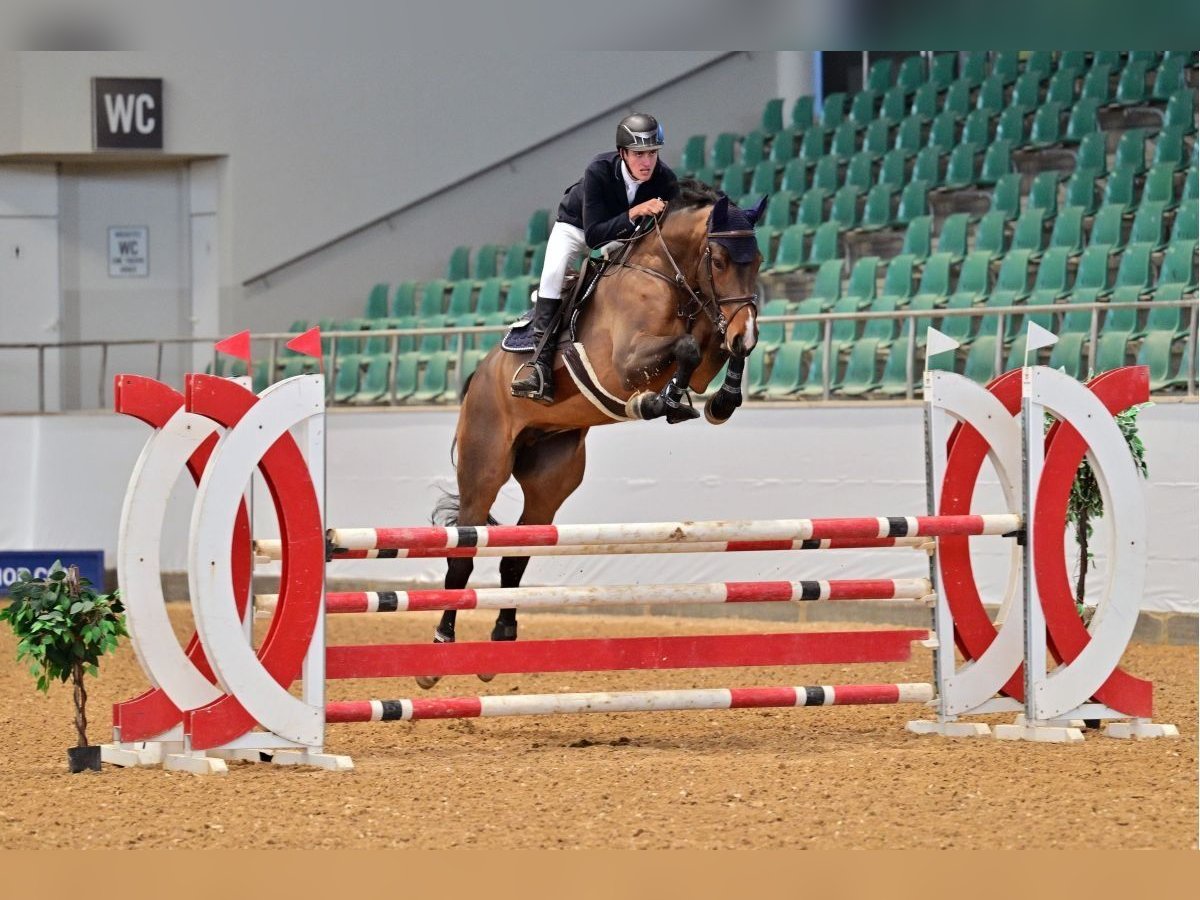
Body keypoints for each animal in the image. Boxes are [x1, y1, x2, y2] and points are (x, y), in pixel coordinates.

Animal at [417, 181, 767, 688]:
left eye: (757, 259)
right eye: (718, 260)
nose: (747, 331)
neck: (668, 276)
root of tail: (478, 379)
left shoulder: (706, 345)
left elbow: (710, 350)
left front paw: (715, 401)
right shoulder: (624, 363)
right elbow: (682, 347)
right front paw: (657, 402)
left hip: (550, 476)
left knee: (516, 554)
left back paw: (500, 640)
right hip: (483, 467)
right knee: (463, 552)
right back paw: (440, 649)